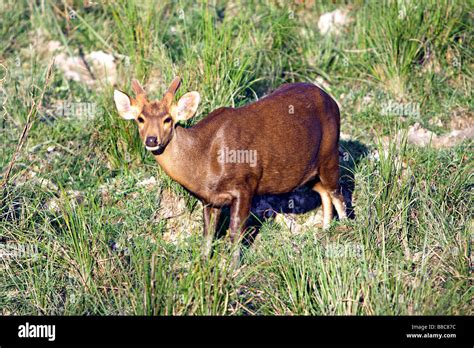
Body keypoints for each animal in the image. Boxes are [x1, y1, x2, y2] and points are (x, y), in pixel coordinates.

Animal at [113, 77, 346, 264]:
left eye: (167, 119)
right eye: (140, 119)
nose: (151, 140)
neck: (205, 160)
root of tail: (331, 100)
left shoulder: (245, 185)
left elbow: (235, 233)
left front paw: (233, 269)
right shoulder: (209, 199)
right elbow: (208, 234)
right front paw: (203, 264)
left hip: (330, 153)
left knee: (338, 193)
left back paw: (344, 228)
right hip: (308, 171)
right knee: (324, 192)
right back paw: (325, 229)